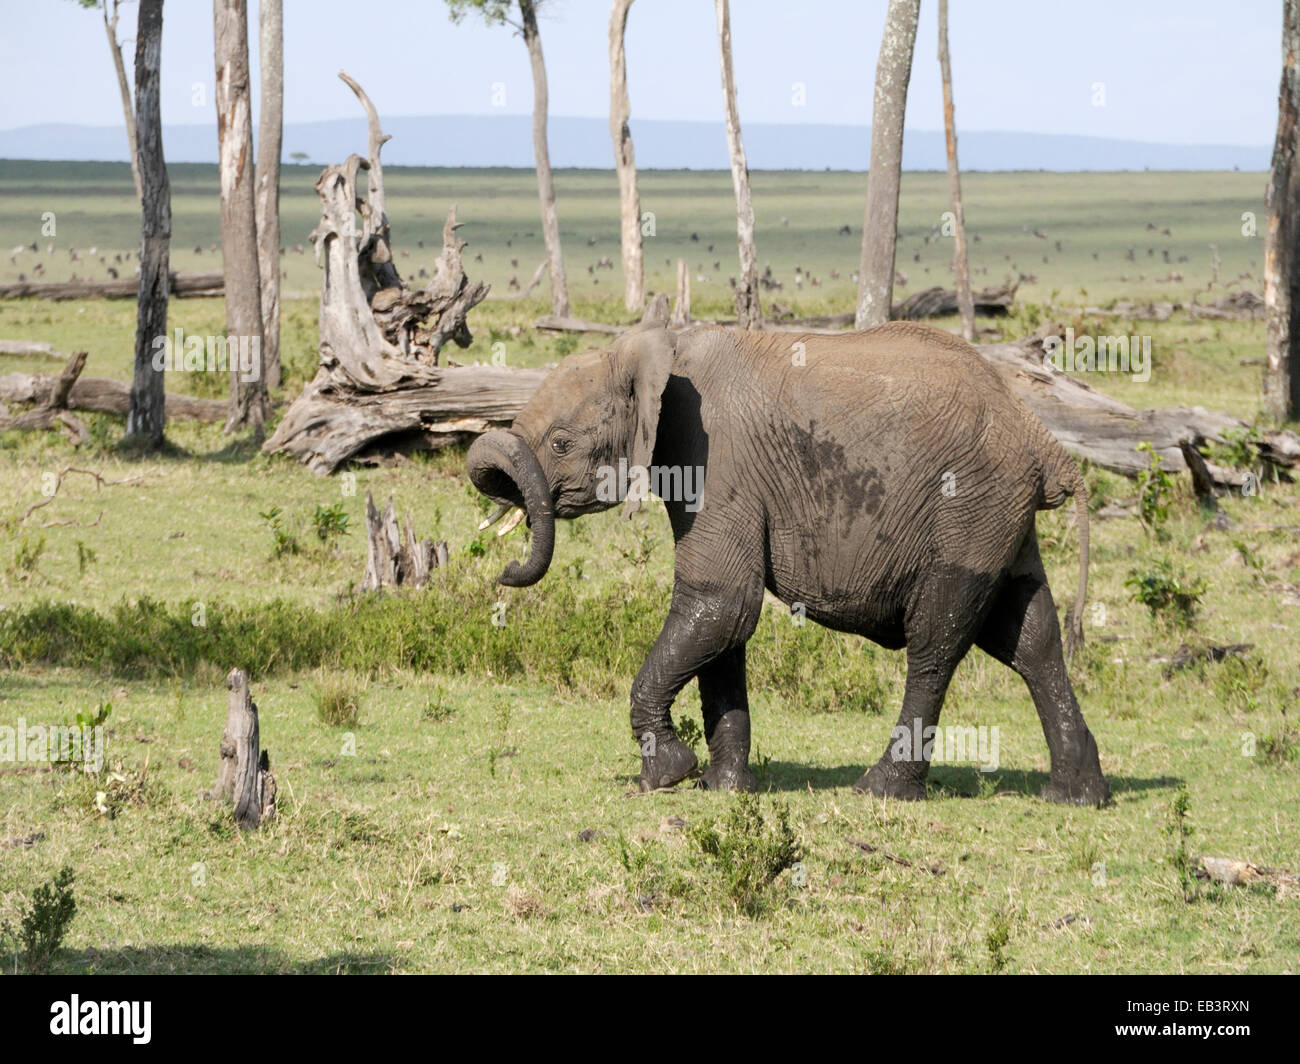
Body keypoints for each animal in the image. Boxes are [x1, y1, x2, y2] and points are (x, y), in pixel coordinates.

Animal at [465, 317, 1107, 806]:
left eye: (561, 444)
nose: (501, 572)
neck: (659, 349)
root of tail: (1042, 440)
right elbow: (722, 628)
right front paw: (722, 790)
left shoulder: (717, 458)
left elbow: (722, 602)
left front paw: (666, 776)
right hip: (997, 516)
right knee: (1029, 633)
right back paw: (1075, 796)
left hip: (970, 504)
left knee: (936, 641)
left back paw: (880, 790)